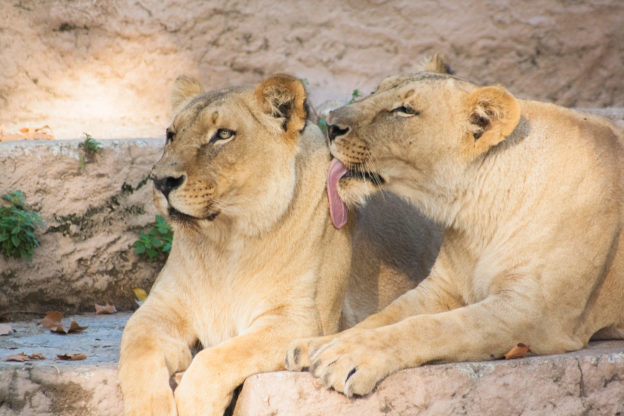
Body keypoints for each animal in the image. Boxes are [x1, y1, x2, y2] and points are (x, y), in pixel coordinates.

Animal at [118, 73, 438, 414]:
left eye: (223, 135)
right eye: (171, 134)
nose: (161, 181)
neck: (224, 244)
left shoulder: (301, 322)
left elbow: (212, 360)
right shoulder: (156, 311)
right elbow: (138, 356)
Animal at [286, 70, 624, 398]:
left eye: (405, 110)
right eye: (376, 90)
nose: (331, 124)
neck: (477, 214)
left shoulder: (536, 313)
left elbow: (433, 326)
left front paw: (349, 356)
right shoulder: (440, 288)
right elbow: (383, 316)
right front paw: (317, 345)